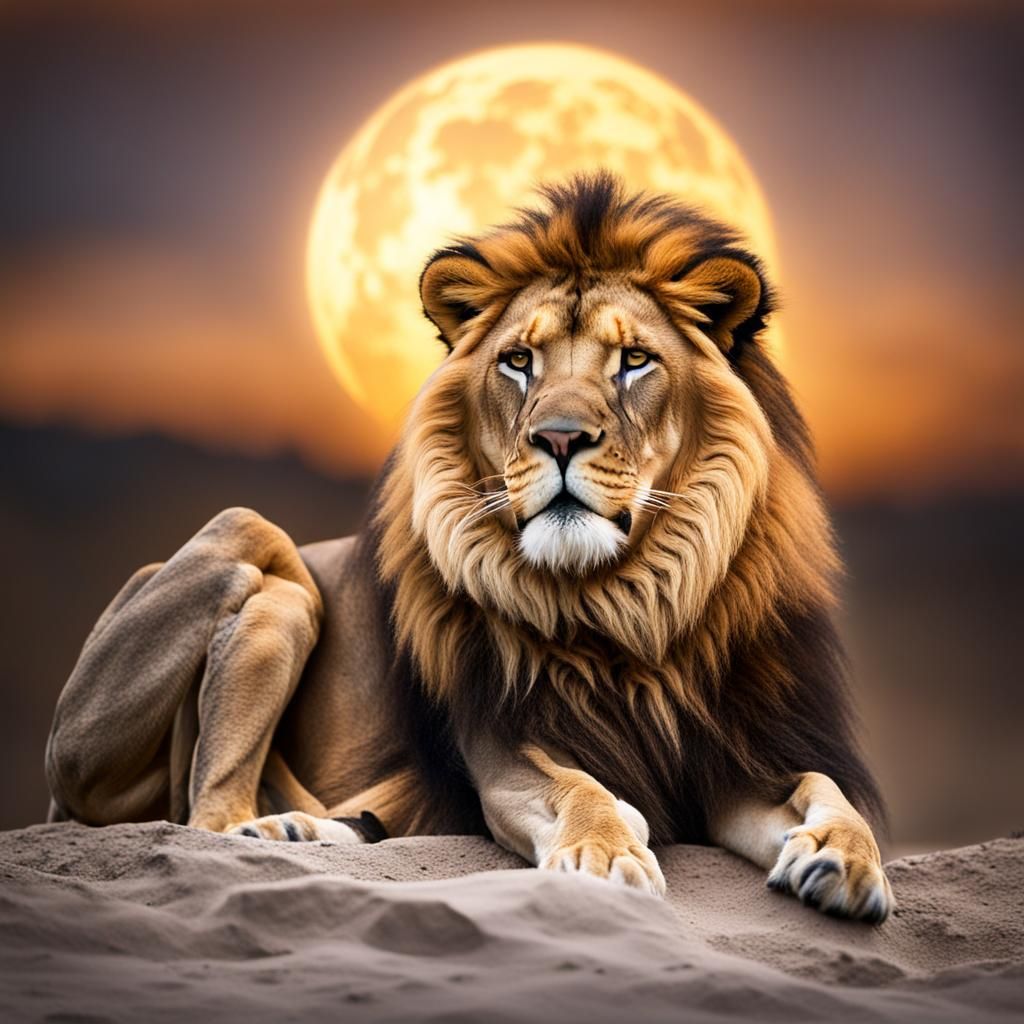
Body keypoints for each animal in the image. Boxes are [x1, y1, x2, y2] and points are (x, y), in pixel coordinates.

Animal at [45, 172, 893, 922]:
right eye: (519, 361)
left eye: (634, 361)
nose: (559, 438)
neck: (626, 606)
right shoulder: (504, 745)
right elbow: (581, 789)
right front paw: (605, 854)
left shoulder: (741, 757)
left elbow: (825, 791)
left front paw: (844, 860)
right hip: (258, 556)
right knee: (209, 816)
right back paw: (282, 830)